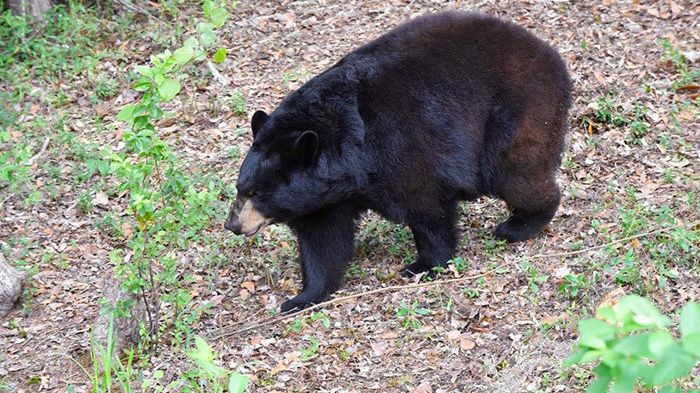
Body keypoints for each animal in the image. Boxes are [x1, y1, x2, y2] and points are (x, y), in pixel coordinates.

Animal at [227, 12, 572, 310]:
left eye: (257, 193)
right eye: (241, 187)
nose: (232, 224)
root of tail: (553, 57)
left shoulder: (400, 147)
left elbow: (427, 207)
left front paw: (423, 264)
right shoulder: (325, 196)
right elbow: (323, 239)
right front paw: (302, 297)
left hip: (519, 110)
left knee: (515, 174)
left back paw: (519, 225)